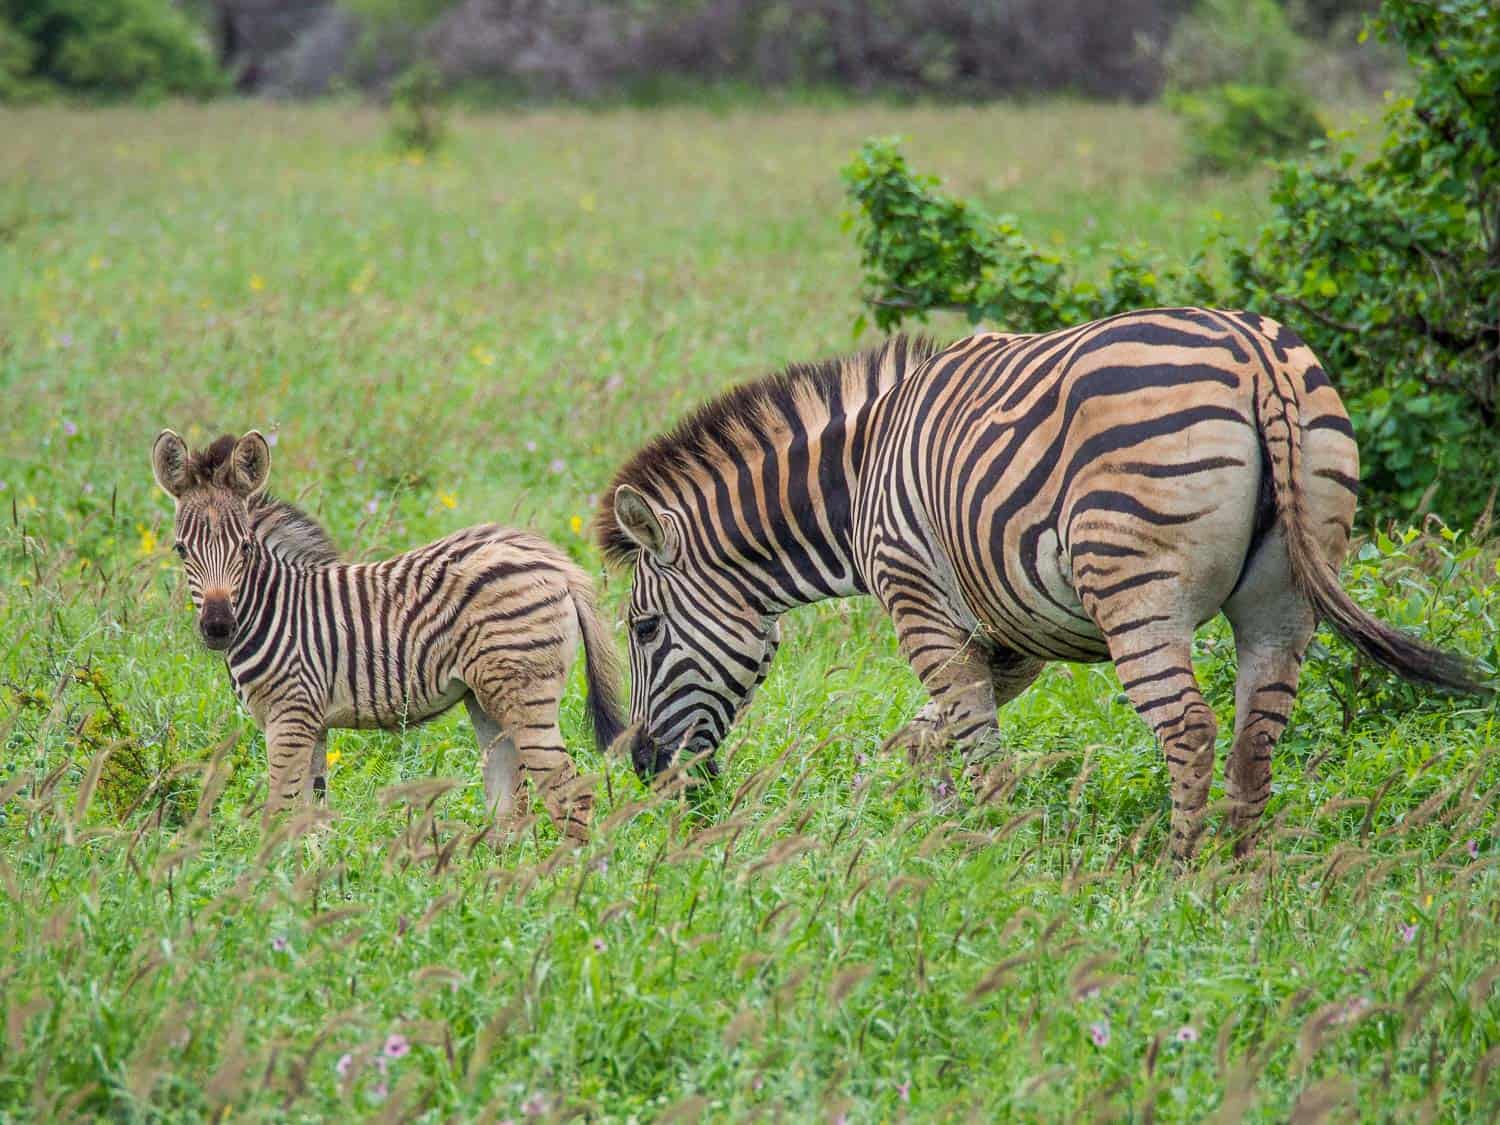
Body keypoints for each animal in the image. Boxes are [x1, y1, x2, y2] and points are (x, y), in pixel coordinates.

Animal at [152, 426, 621, 840]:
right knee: (509, 807)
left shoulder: (289, 716)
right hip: (487, 698)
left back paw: (567, 878)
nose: (218, 628)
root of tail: (551, 559)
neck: (273, 607)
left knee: (569, 793)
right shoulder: (312, 721)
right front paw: (313, 875)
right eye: (181, 549)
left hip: (525, 692)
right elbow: (312, 817)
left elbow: (278, 812)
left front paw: (269, 876)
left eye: (246, 547)